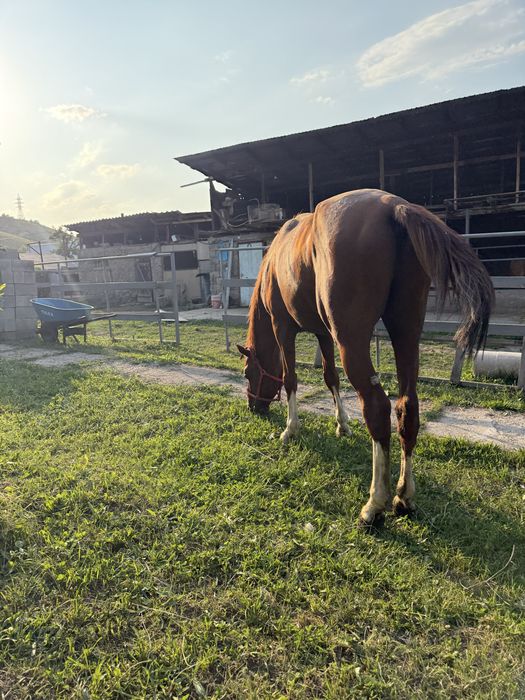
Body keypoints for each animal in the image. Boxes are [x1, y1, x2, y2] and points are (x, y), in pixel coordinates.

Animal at [237, 189, 494, 528]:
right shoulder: (324, 334)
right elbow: (330, 377)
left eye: (248, 373)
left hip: (353, 340)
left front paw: (290, 429)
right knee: (407, 406)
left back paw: (375, 504)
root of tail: (394, 207)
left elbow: (291, 379)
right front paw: (342, 425)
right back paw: (404, 497)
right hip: (405, 330)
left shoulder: (284, 327)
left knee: (377, 407)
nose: (254, 408)